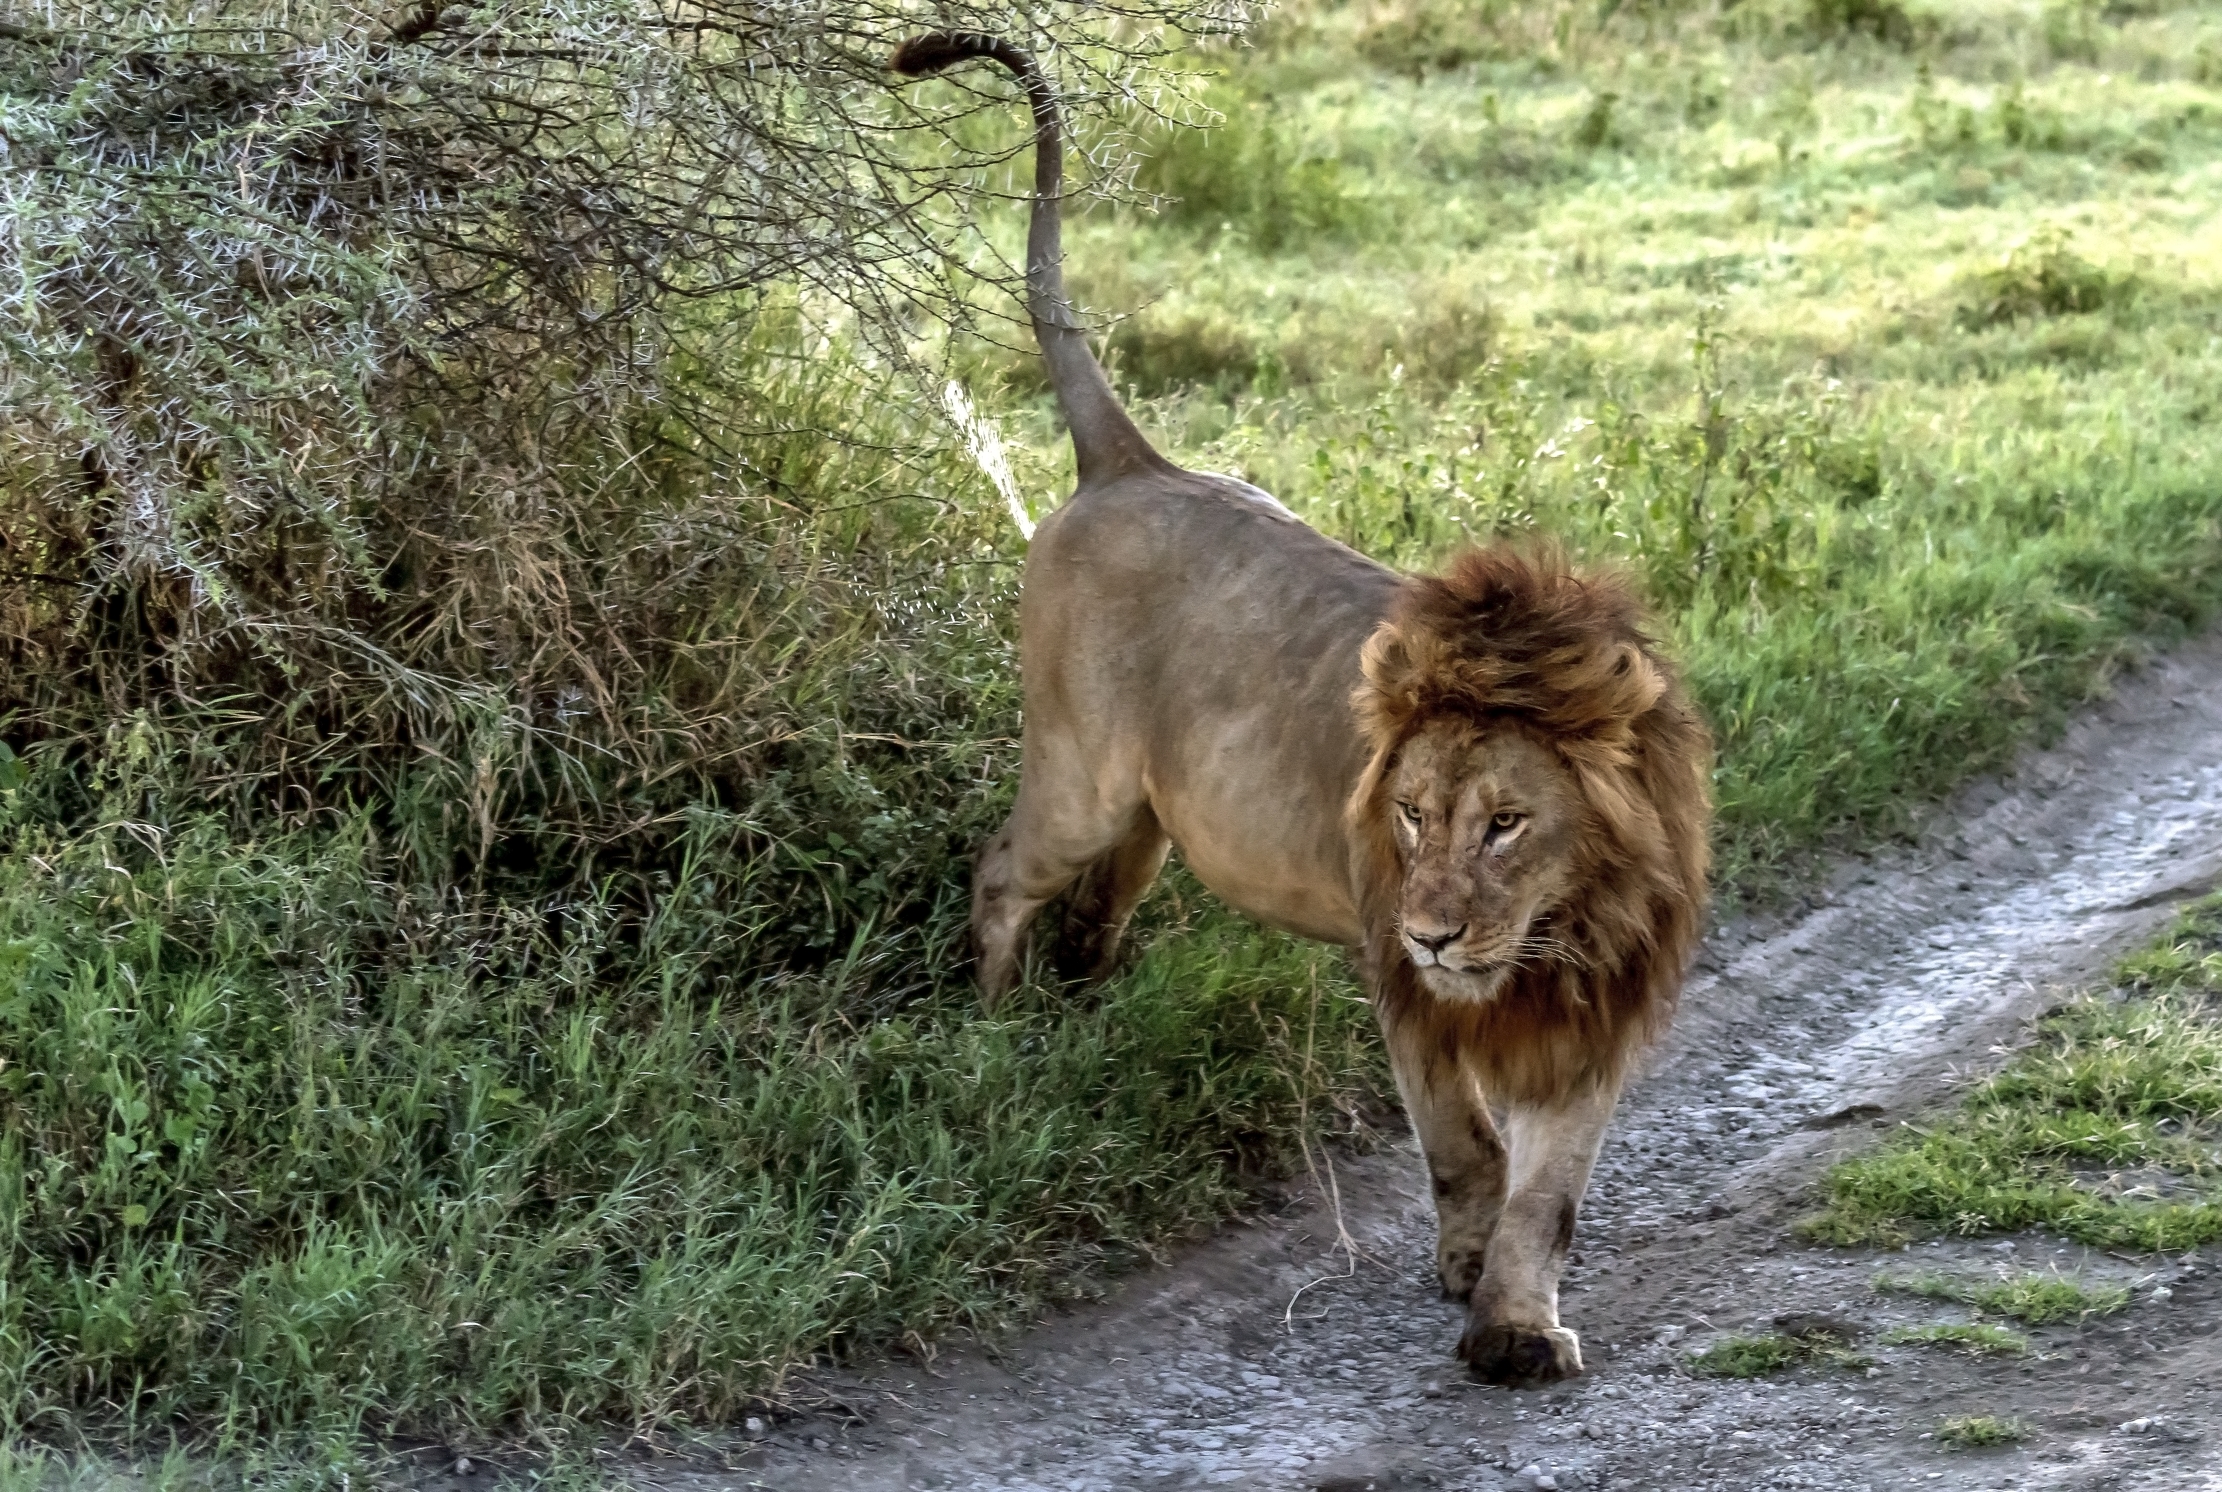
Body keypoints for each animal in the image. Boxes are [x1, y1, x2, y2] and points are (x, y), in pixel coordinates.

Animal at [893, 31, 1713, 1385]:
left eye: (1505, 822)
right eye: (1413, 815)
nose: (1436, 931)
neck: (1551, 924)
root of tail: (1130, 462)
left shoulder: (1590, 1008)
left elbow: (1547, 1190)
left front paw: (1515, 1324)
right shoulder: (1400, 977)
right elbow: (1467, 1148)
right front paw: (1465, 1274)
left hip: (1152, 827)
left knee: (1094, 914)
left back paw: (1086, 1026)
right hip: (1080, 779)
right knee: (1003, 870)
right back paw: (998, 1034)